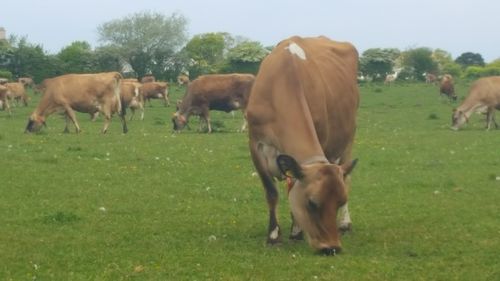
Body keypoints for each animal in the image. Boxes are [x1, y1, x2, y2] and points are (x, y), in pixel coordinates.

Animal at [247, 36, 360, 255]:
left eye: (340, 201)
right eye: (312, 203)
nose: (332, 247)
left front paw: (296, 231)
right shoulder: (255, 144)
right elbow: (271, 192)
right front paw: (273, 235)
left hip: (349, 137)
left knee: (348, 177)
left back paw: (345, 223)